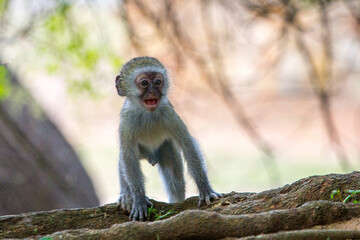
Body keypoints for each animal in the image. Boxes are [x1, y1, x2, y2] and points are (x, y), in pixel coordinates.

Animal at [116, 56, 221, 221]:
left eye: (158, 82)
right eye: (144, 83)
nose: (153, 91)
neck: (147, 113)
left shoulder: (169, 113)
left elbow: (187, 145)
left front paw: (205, 188)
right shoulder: (126, 121)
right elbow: (128, 156)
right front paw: (138, 199)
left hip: (165, 149)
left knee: (175, 181)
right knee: (123, 159)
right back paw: (126, 196)